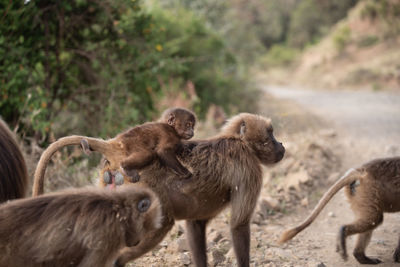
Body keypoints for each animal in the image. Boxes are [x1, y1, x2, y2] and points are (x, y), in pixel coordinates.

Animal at [32, 107, 195, 195]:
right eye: (188, 124)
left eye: (192, 125)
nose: (192, 131)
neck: (169, 126)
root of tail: (115, 143)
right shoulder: (169, 134)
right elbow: (162, 152)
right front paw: (185, 173)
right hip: (126, 150)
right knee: (148, 154)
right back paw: (126, 167)